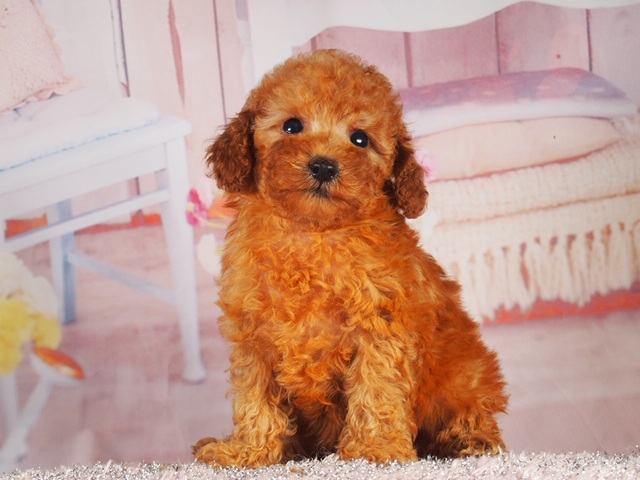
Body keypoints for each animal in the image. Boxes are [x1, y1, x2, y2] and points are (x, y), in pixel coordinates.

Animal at [193, 49, 507, 467]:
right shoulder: (253, 331)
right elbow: (254, 396)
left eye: (360, 139)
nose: (324, 165)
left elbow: (376, 388)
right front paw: (247, 449)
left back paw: (471, 441)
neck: (312, 232)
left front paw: (375, 449)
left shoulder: (380, 324)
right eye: (292, 126)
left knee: (475, 411)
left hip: (467, 374)